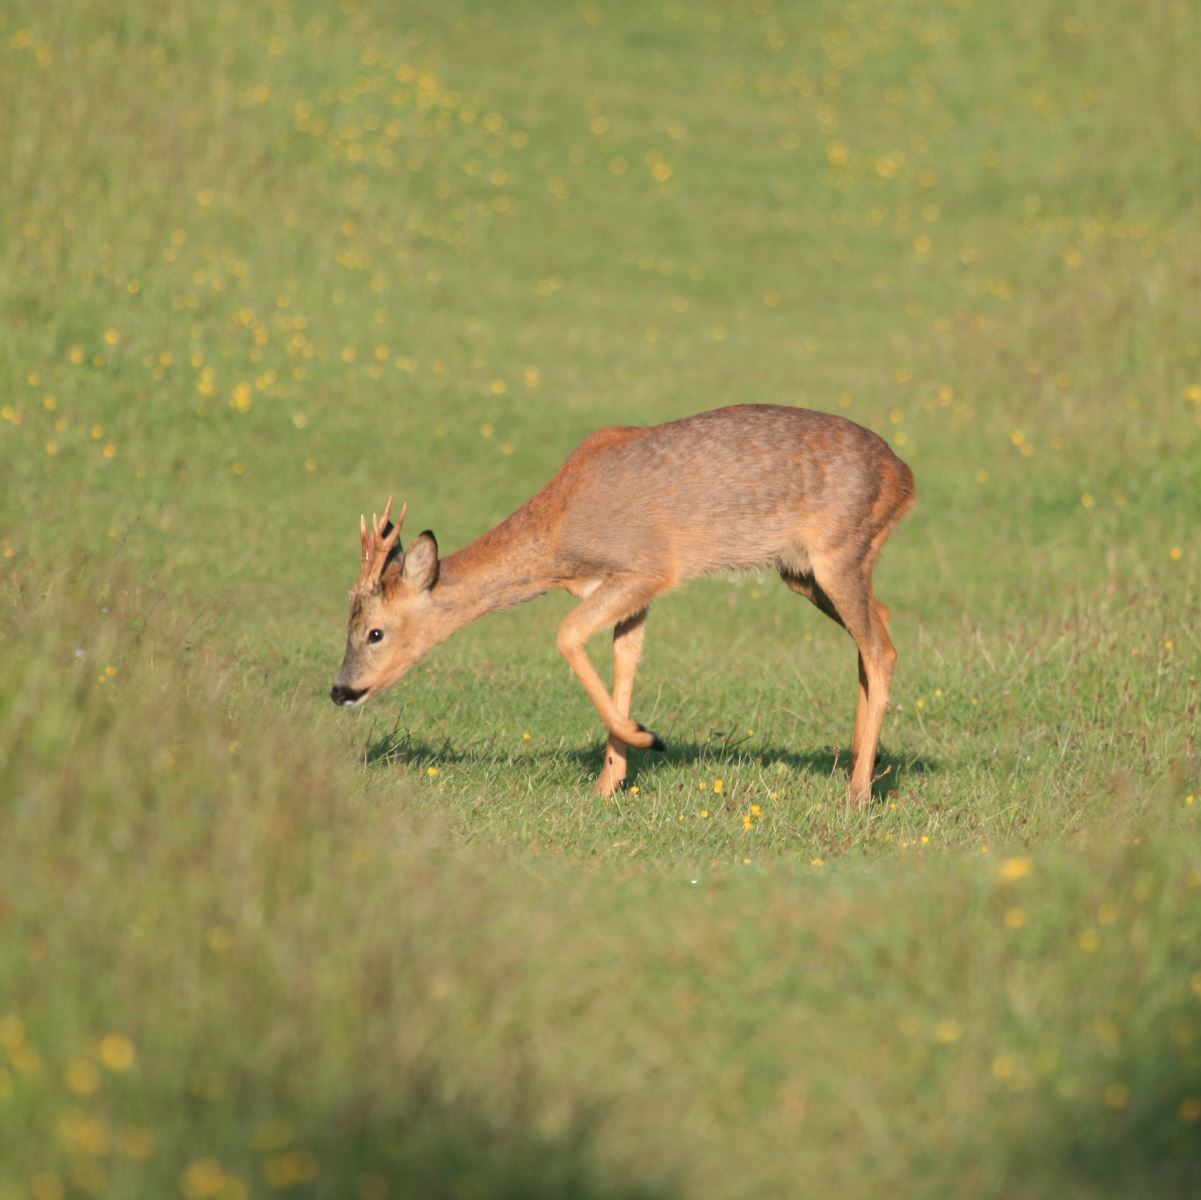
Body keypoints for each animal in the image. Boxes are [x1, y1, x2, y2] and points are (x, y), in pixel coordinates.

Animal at [333, 401, 912, 797]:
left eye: (375, 631)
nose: (340, 690)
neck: (564, 537)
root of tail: (906, 477)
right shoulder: (631, 590)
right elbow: (625, 661)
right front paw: (609, 782)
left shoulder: (648, 568)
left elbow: (568, 633)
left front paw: (645, 739)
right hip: (804, 572)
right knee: (876, 628)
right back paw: (858, 761)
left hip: (839, 552)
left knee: (882, 649)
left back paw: (858, 792)